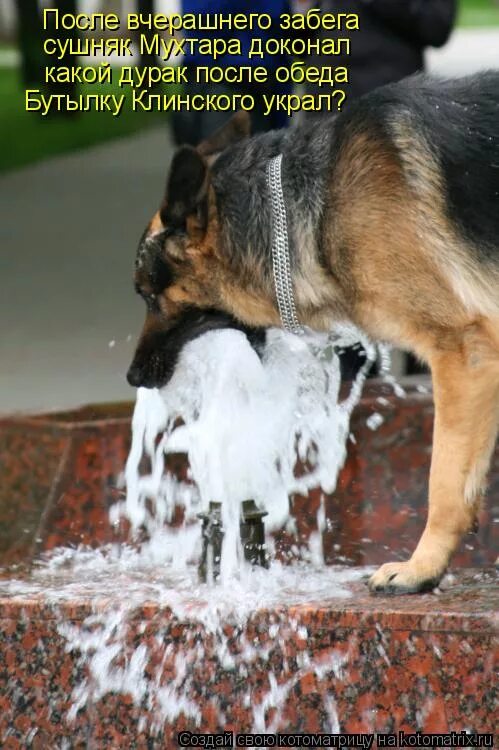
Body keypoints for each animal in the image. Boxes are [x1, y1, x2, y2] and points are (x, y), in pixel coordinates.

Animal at [129, 73, 499, 596]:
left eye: (146, 293)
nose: (132, 376)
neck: (303, 210)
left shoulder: (464, 354)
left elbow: (445, 484)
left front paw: (422, 568)